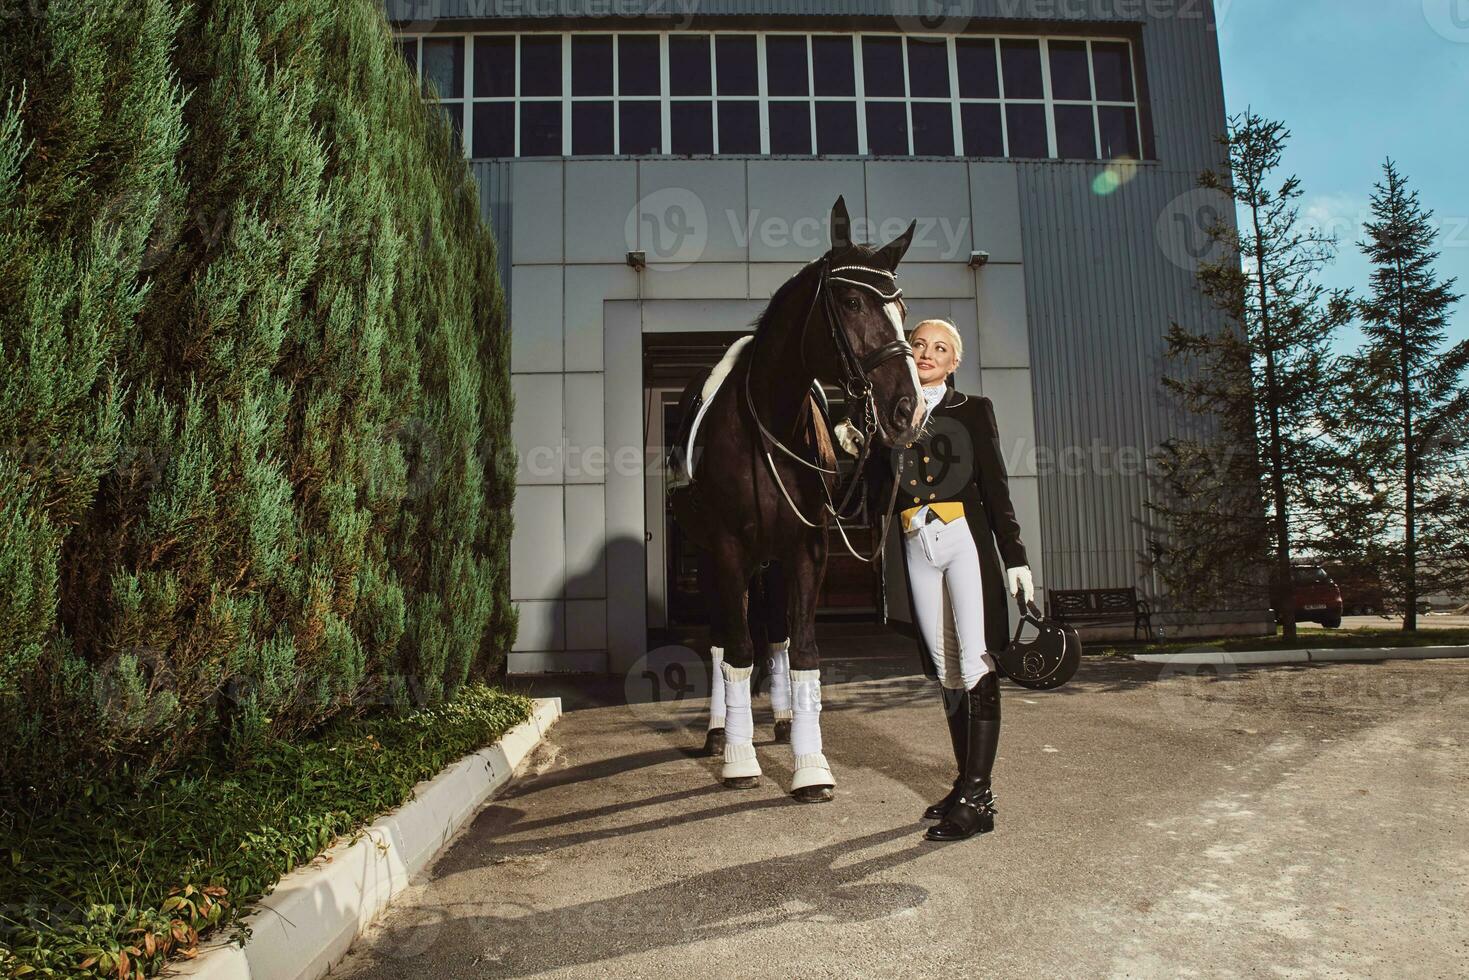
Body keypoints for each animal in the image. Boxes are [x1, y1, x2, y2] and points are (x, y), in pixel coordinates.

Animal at [669, 195, 922, 799]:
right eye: (851, 300)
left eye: (902, 306)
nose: (908, 408)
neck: (769, 427)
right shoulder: (728, 551)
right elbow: (736, 651)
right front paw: (739, 760)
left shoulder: (807, 550)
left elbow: (803, 648)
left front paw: (812, 767)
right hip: (720, 560)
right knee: (722, 641)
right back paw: (720, 731)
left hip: (774, 560)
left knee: (778, 638)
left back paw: (783, 720)